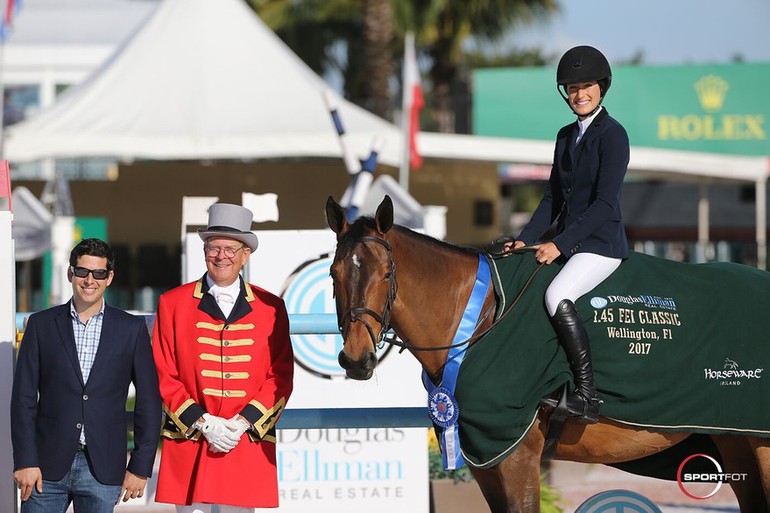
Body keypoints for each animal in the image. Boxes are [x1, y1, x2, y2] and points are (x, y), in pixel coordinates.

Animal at [324, 195, 768, 512]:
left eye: (387, 274)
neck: (479, 317)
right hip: (735, 441)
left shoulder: (516, 452)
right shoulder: (485, 456)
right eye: (333, 273)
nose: (356, 360)